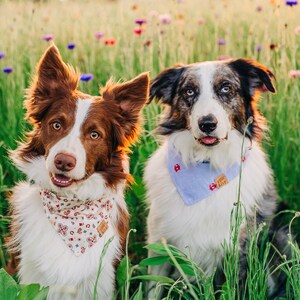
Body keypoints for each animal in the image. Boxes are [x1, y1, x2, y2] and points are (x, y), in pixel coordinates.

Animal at [9, 45, 150, 300]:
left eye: (95, 134)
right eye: (56, 124)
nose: (63, 162)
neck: (70, 208)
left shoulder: (101, 281)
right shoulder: (30, 276)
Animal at [145, 58, 288, 298]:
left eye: (226, 88)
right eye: (189, 91)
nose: (207, 124)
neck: (207, 165)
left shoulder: (236, 251)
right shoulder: (159, 244)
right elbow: (153, 287)